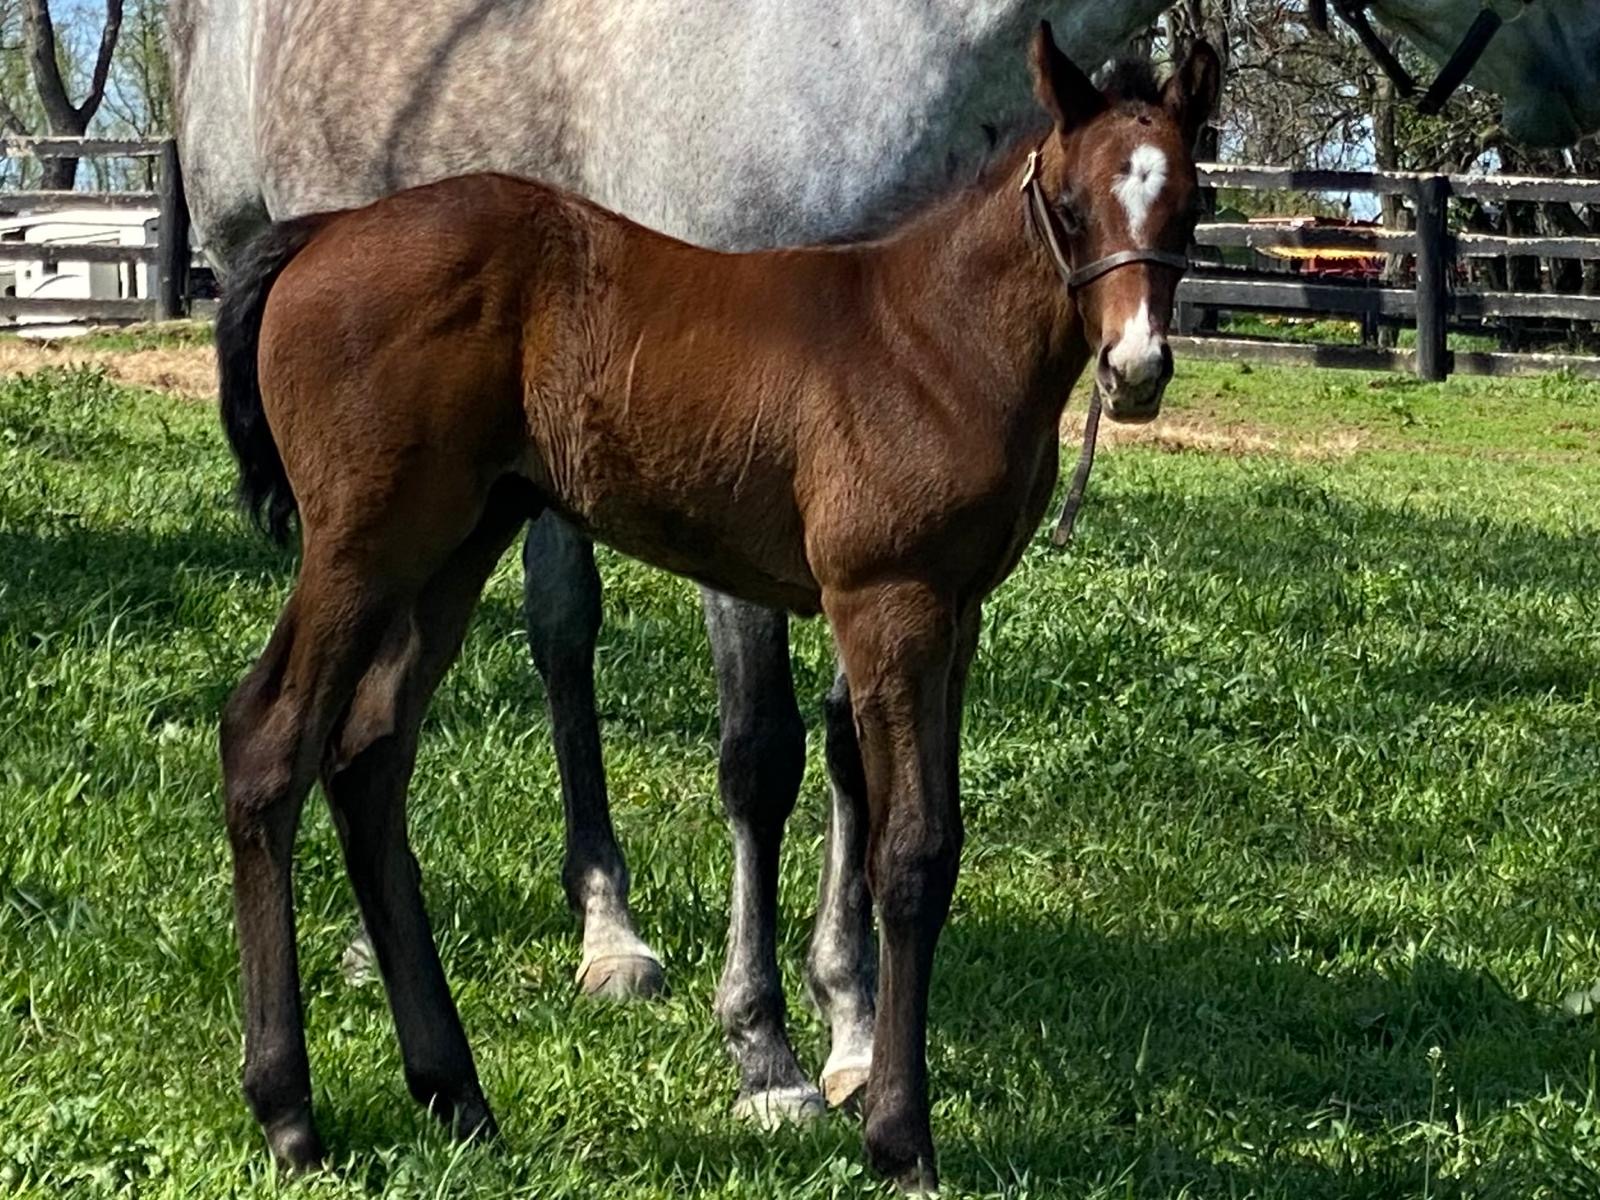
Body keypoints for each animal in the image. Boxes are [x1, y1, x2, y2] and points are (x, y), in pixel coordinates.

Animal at [213, 24, 1220, 1190]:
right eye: (1068, 203)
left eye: (1188, 203)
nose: (1137, 368)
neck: (928, 336)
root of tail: (322, 234)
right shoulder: (888, 601)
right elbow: (906, 853)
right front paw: (897, 1136)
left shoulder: (957, 615)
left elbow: (931, 843)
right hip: (362, 547)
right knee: (268, 742)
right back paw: (290, 1114)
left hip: (456, 544)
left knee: (370, 756)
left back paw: (454, 1092)